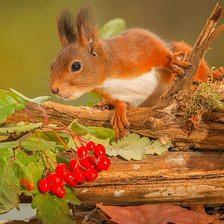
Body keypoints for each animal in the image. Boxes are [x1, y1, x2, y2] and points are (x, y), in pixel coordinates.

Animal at [50, 7, 224, 138]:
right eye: (51, 66)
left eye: (76, 66)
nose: (54, 89)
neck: (108, 77)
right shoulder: (112, 93)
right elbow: (119, 101)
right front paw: (119, 111)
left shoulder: (137, 45)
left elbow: (157, 50)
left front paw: (171, 62)